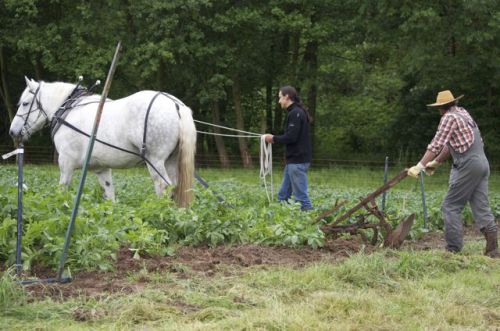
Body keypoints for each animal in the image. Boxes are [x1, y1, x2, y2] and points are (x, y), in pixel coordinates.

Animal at [9, 78, 197, 208]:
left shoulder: (66, 164)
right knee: (175, 187)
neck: (68, 110)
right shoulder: (102, 169)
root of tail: (175, 104)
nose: (12, 131)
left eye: (25, 103)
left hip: (155, 161)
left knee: (163, 186)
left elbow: (62, 190)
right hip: (170, 161)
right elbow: (109, 195)